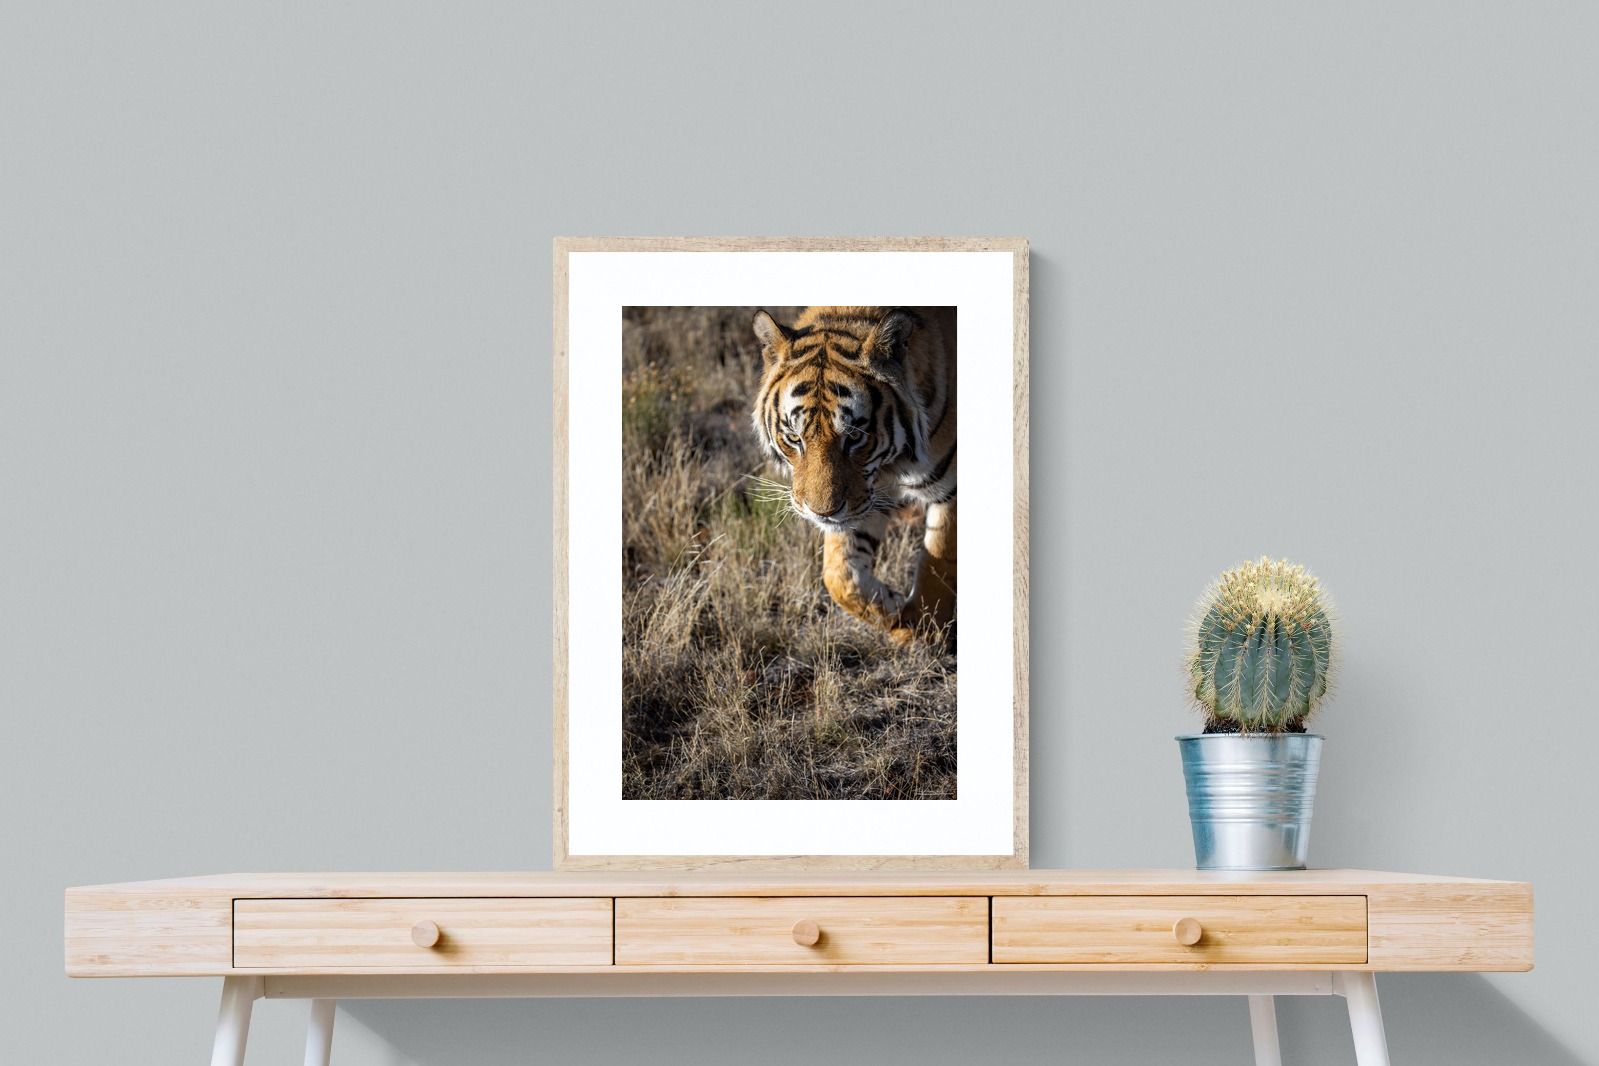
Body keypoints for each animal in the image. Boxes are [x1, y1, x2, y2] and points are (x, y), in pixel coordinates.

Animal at [751, 306, 956, 646]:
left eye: (855, 436)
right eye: (794, 438)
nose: (822, 513)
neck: (891, 465)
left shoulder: (950, 489)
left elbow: (938, 559)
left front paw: (925, 627)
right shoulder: (866, 496)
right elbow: (839, 575)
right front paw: (894, 610)